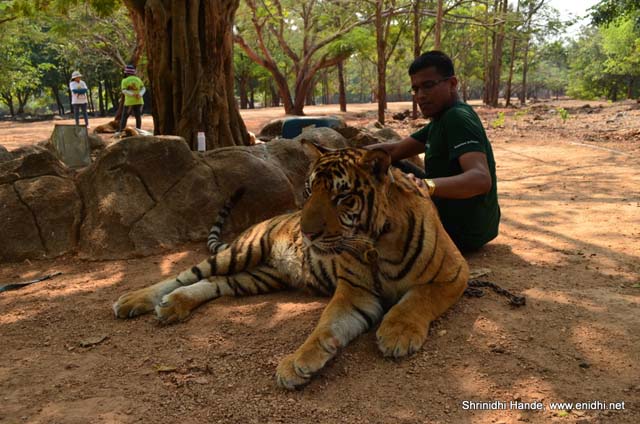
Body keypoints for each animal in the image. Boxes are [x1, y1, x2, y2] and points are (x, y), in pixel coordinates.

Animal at [113, 141, 469, 390]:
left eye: (343, 197)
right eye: (309, 190)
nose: (306, 233)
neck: (374, 244)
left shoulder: (454, 274)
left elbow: (417, 299)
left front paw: (397, 333)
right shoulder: (356, 291)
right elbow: (325, 325)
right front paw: (297, 362)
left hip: (256, 277)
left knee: (212, 284)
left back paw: (173, 305)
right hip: (243, 251)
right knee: (182, 276)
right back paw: (134, 300)